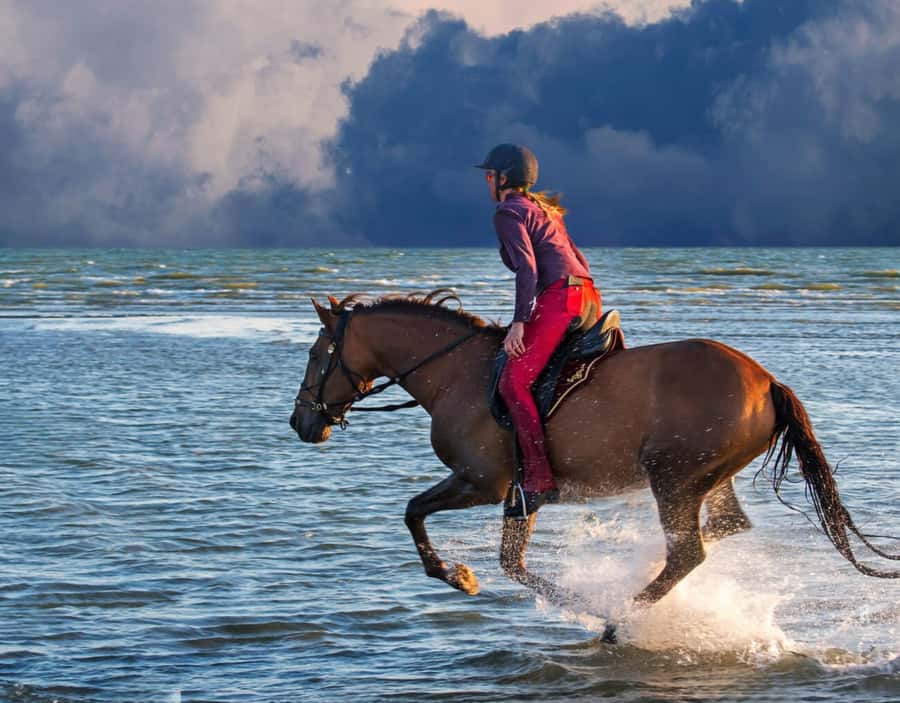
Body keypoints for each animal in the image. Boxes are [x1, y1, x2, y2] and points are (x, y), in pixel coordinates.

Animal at [290, 289, 899, 627]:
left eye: (317, 354)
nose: (301, 422)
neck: (456, 374)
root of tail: (768, 382)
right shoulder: (522, 495)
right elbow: (513, 564)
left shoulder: (483, 483)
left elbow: (415, 512)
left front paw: (457, 575)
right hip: (707, 477)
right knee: (725, 529)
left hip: (673, 478)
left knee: (688, 554)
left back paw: (621, 618)